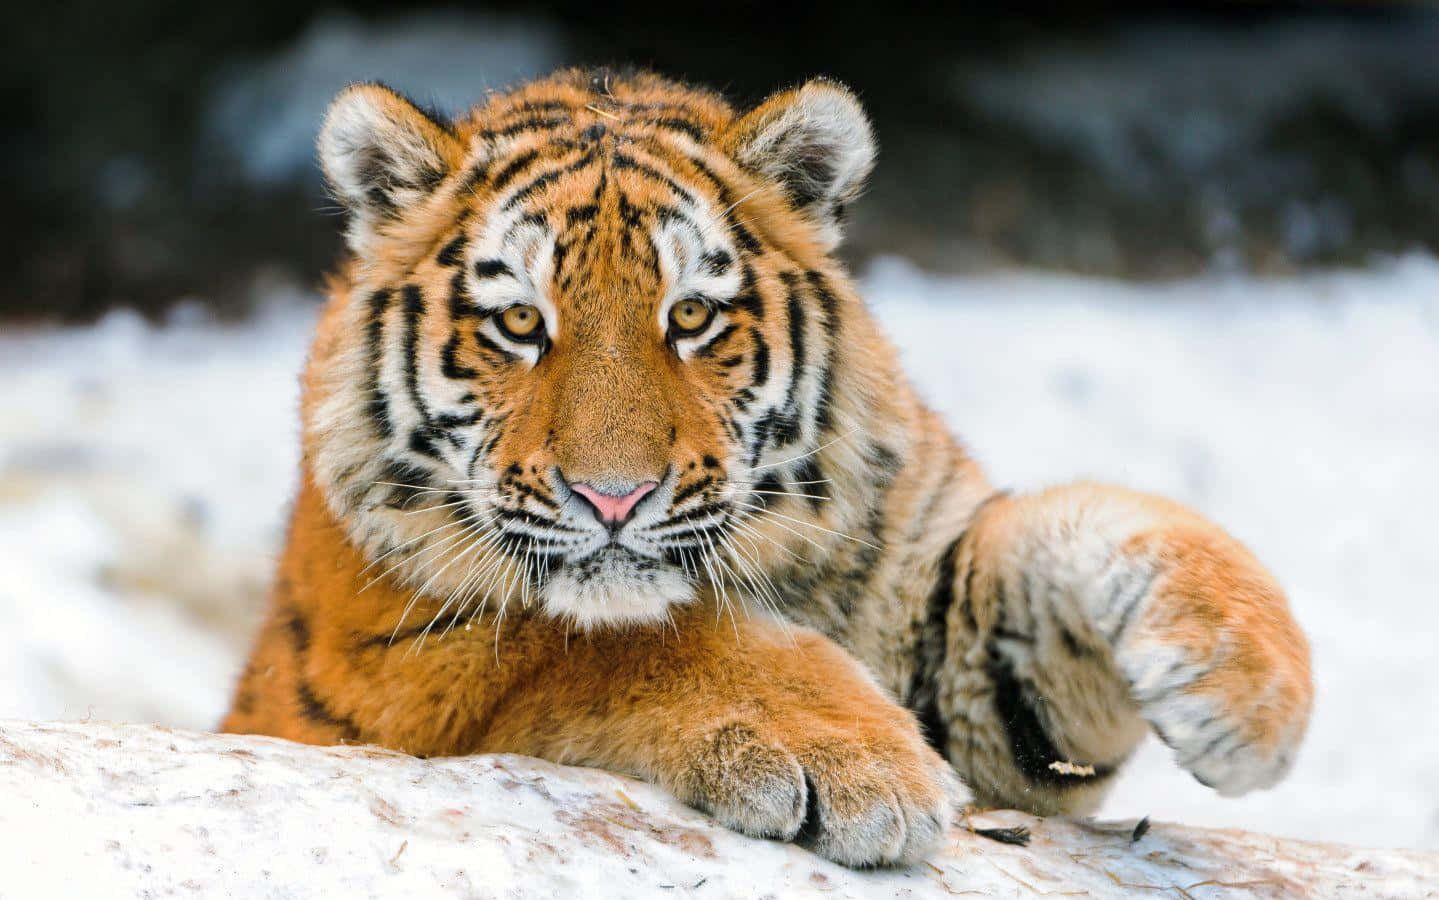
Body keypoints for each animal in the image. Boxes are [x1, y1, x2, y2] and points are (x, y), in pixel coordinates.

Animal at [222, 69, 1313, 867]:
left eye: (692, 316)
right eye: (520, 324)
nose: (612, 497)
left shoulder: (946, 626)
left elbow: (1081, 523)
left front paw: (1248, 685)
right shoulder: (398, 666)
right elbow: (613, 641)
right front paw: (855, 762)